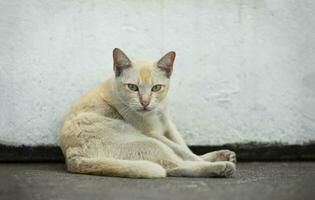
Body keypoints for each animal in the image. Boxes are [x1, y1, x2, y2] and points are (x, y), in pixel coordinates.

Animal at [59, 48, 237, 178]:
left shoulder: (168, 125)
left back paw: (222, 157)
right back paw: (220, 167)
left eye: (156, 88)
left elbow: (184, 147)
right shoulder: (152, 133)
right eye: (132, 87)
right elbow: (183, 152)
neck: (155, 114)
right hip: (151, 143)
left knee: (173, 165)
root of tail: (72, 158)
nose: (145, 102)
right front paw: (204, 159)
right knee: (173, 166)